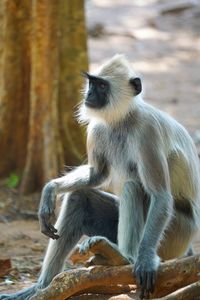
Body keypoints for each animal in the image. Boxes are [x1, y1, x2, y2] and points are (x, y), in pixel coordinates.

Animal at [1, 54, 200, 300]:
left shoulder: (148, 131)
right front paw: (50, 190)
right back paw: (41, 288)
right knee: (80, 197)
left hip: (175, 235)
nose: (89, 95)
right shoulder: (97, 129)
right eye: (92, 83)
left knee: (133, 187)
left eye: (102, 86)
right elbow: (96, 175)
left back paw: (124, 257)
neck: (122, 119)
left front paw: (144, 260)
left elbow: (160, 195)